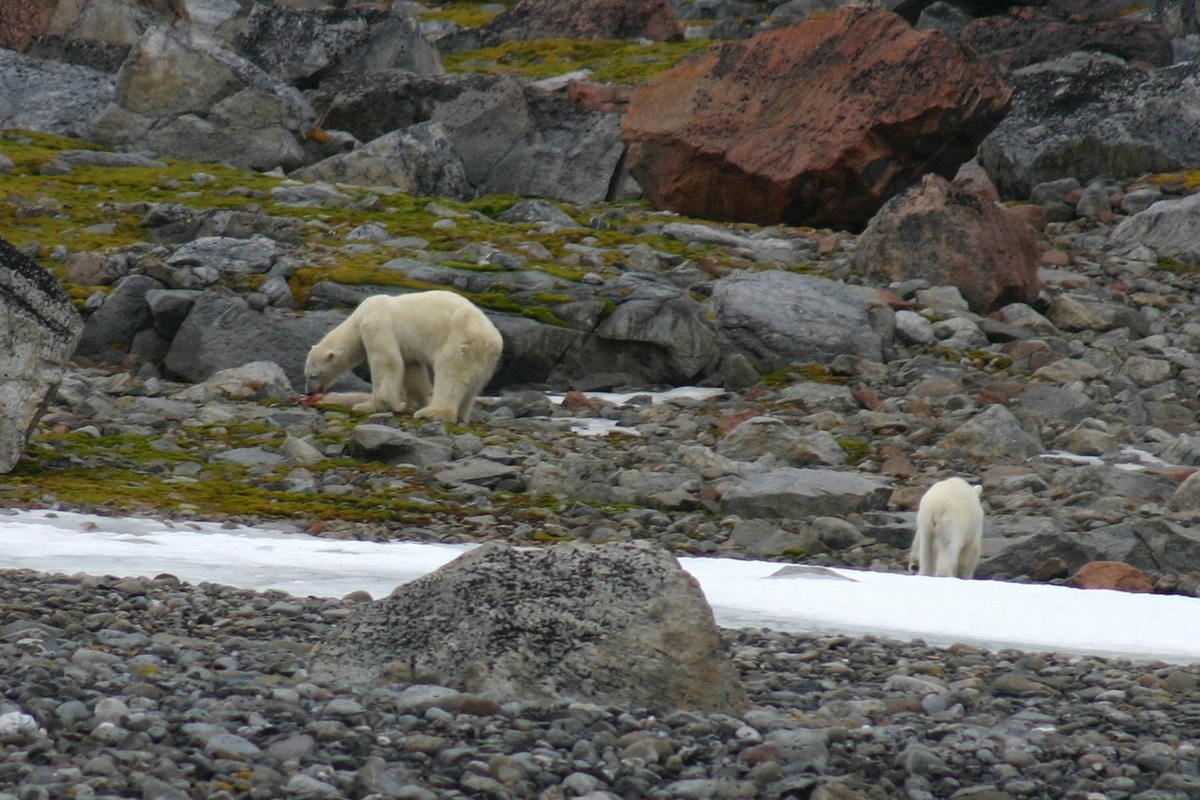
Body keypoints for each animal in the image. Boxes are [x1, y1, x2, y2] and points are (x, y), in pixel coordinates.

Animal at [304, 289, 506, 424]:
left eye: (313, 375)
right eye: (306, 375)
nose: (308, 392)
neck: (358, 317)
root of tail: (493, 339)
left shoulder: (376, 324)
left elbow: (387, 361)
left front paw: (369, 405)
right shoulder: (407, 347)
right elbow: (411, 369)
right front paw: (409, 406)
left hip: (462, 338)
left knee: (451, 373)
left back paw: (433, 412)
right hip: (484, 358)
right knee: (472, 385)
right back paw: (461, 416)